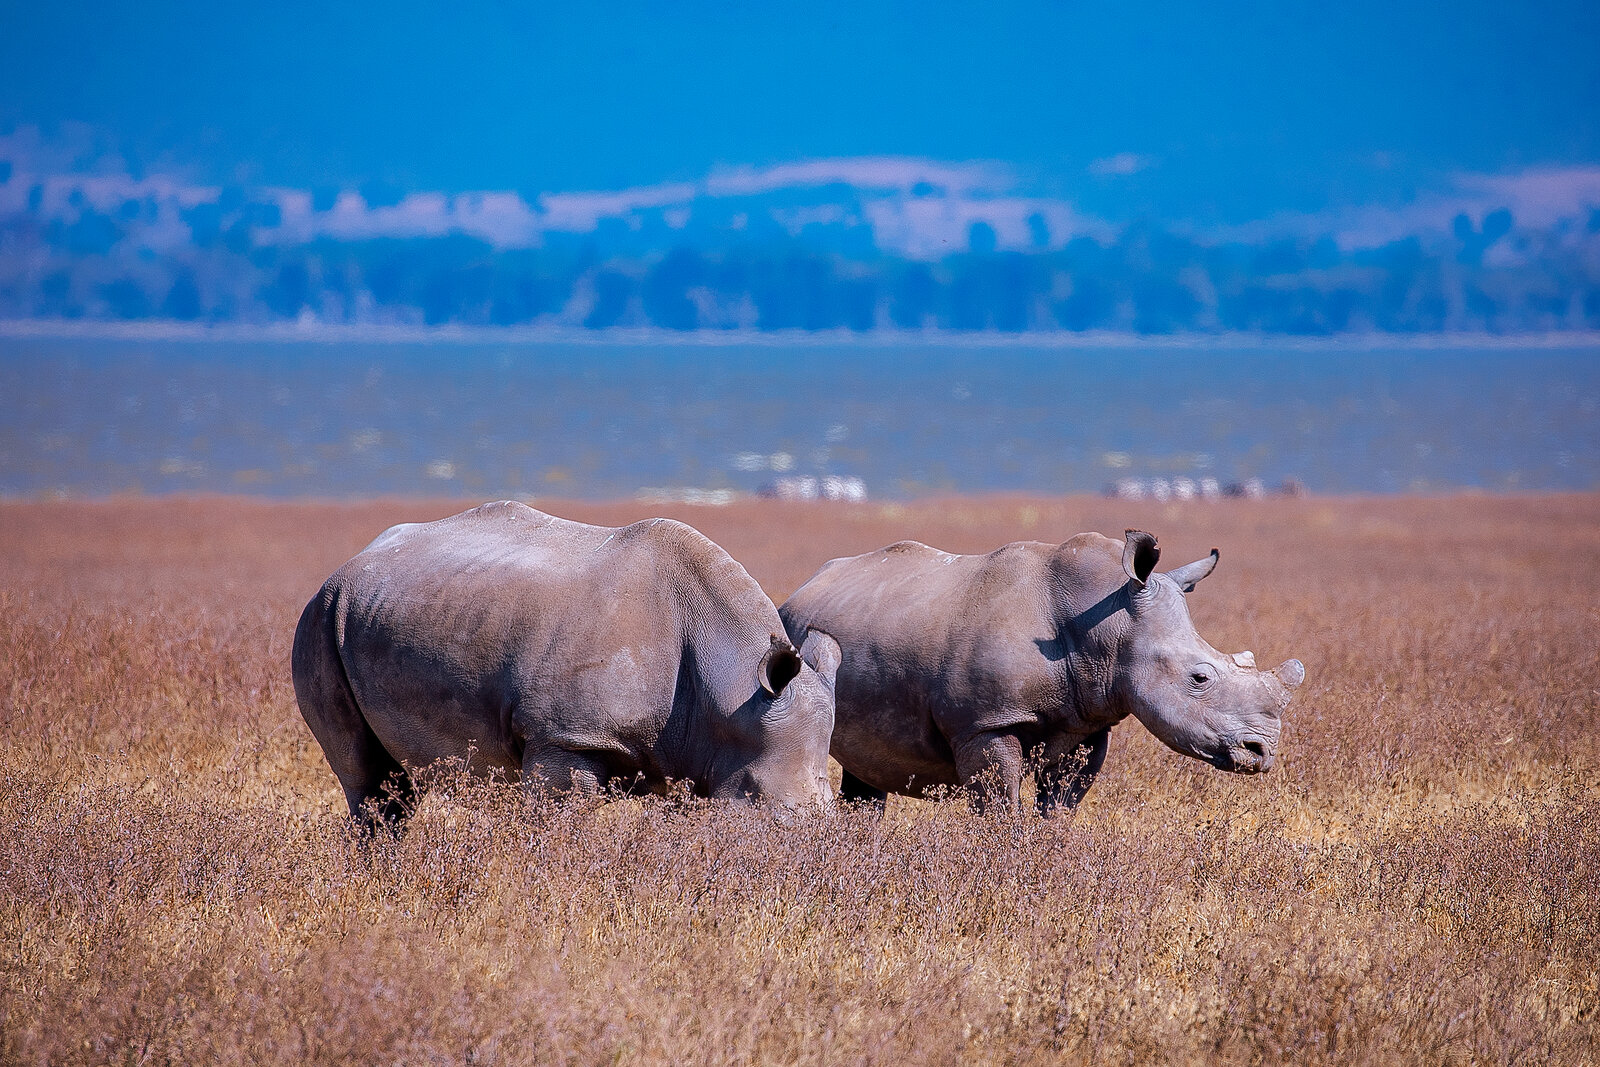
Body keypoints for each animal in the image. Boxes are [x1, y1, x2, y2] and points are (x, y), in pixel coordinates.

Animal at [292, 501, 841, 830]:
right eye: (769, 809)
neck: (729, 690)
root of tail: (350, 562)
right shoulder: (565, 736)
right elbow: (559, 827)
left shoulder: (686, 753)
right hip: (321, 616)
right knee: (366, 778)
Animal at [779, 529, 1304, 814]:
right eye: (1200, 678)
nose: (1261, 753)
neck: (1108, 623)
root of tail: (801, 591)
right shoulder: (986, 723)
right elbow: (999, 806)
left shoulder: (1090, 718)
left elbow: (1059, 804)